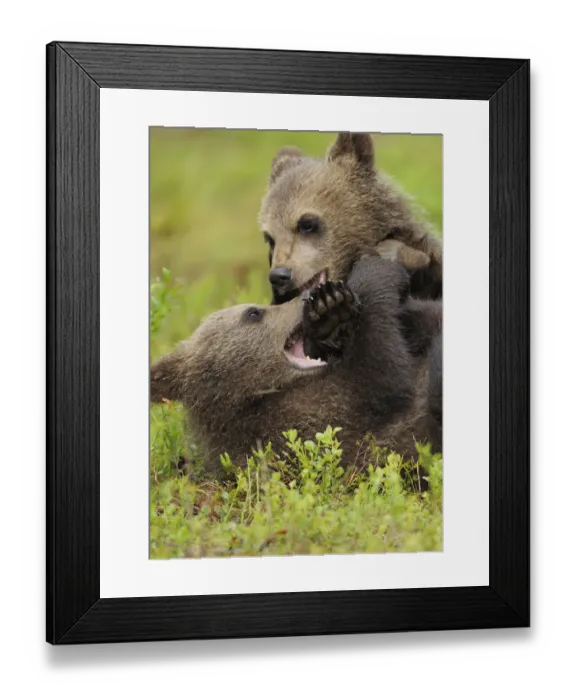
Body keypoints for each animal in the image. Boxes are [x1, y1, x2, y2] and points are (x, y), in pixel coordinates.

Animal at [150, 257, 442, 482]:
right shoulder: (317, 419)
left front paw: (330, 310)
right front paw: (375, 273)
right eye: (253, 313)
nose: (307, 293)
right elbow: (381, 371)